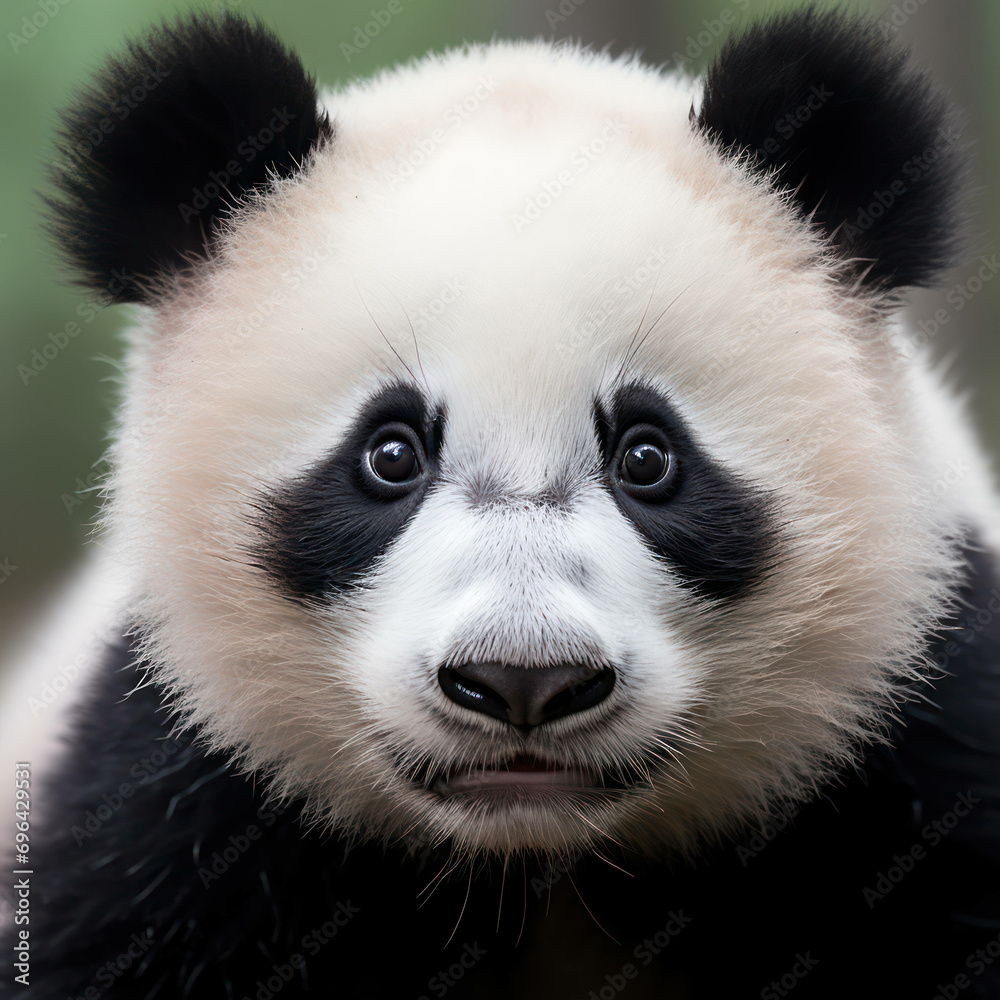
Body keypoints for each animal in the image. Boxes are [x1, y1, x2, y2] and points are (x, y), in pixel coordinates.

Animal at [2, 5, 999, 998]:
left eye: (648, 458)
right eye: (389, 455)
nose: (525, 680)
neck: (535, 867)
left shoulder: (915, 733)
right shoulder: (172, 799)